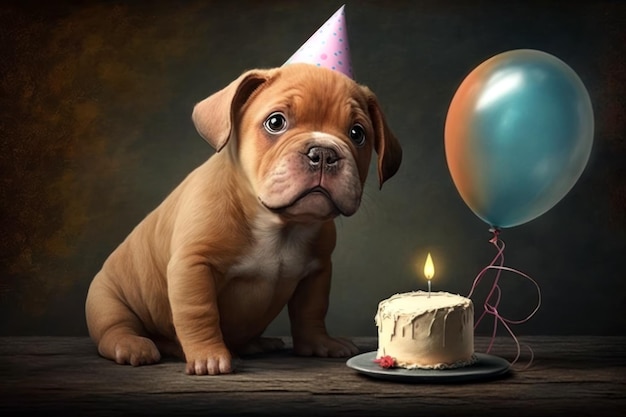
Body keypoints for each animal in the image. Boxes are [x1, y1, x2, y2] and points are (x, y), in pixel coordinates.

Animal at [84, 63, 400, 376]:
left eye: (357, 133)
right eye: (276, 122)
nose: (323, 152)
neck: (278, 224)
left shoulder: (317, 271)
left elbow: (311, 311)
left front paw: (319, 344)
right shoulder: (193, 266)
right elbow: (199, 314)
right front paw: (209, 356)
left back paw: (257, 343)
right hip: (106, 298)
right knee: (115, 327)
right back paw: (132, 346)